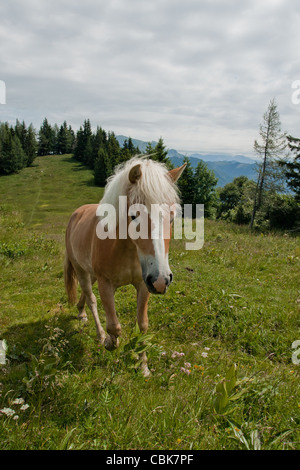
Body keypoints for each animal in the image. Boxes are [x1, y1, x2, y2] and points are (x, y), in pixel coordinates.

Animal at [63, 156, 185, 376]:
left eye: (172, 218)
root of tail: (77, 213)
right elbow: (114, 326)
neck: (126, 249)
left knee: (86, 295)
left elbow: (142, 325)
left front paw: (144, 367)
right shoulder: (106, 284)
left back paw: (80, 312)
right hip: (81, 271)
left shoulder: (144, 284)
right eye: (134, 216)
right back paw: (98, 333)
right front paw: (109, 343)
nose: (162, 280)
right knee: (91, 298)